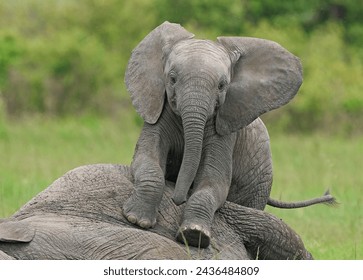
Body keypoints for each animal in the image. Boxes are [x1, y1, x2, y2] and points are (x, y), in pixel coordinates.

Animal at [123, 20, 336, 246]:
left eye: (222, 85)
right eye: (172, 78)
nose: (178, 199)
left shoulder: (225, 132)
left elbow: (214, 181)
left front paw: (194, 234)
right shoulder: (157, 111)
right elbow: (146, 160)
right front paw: (137, 219)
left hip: (260, 182)